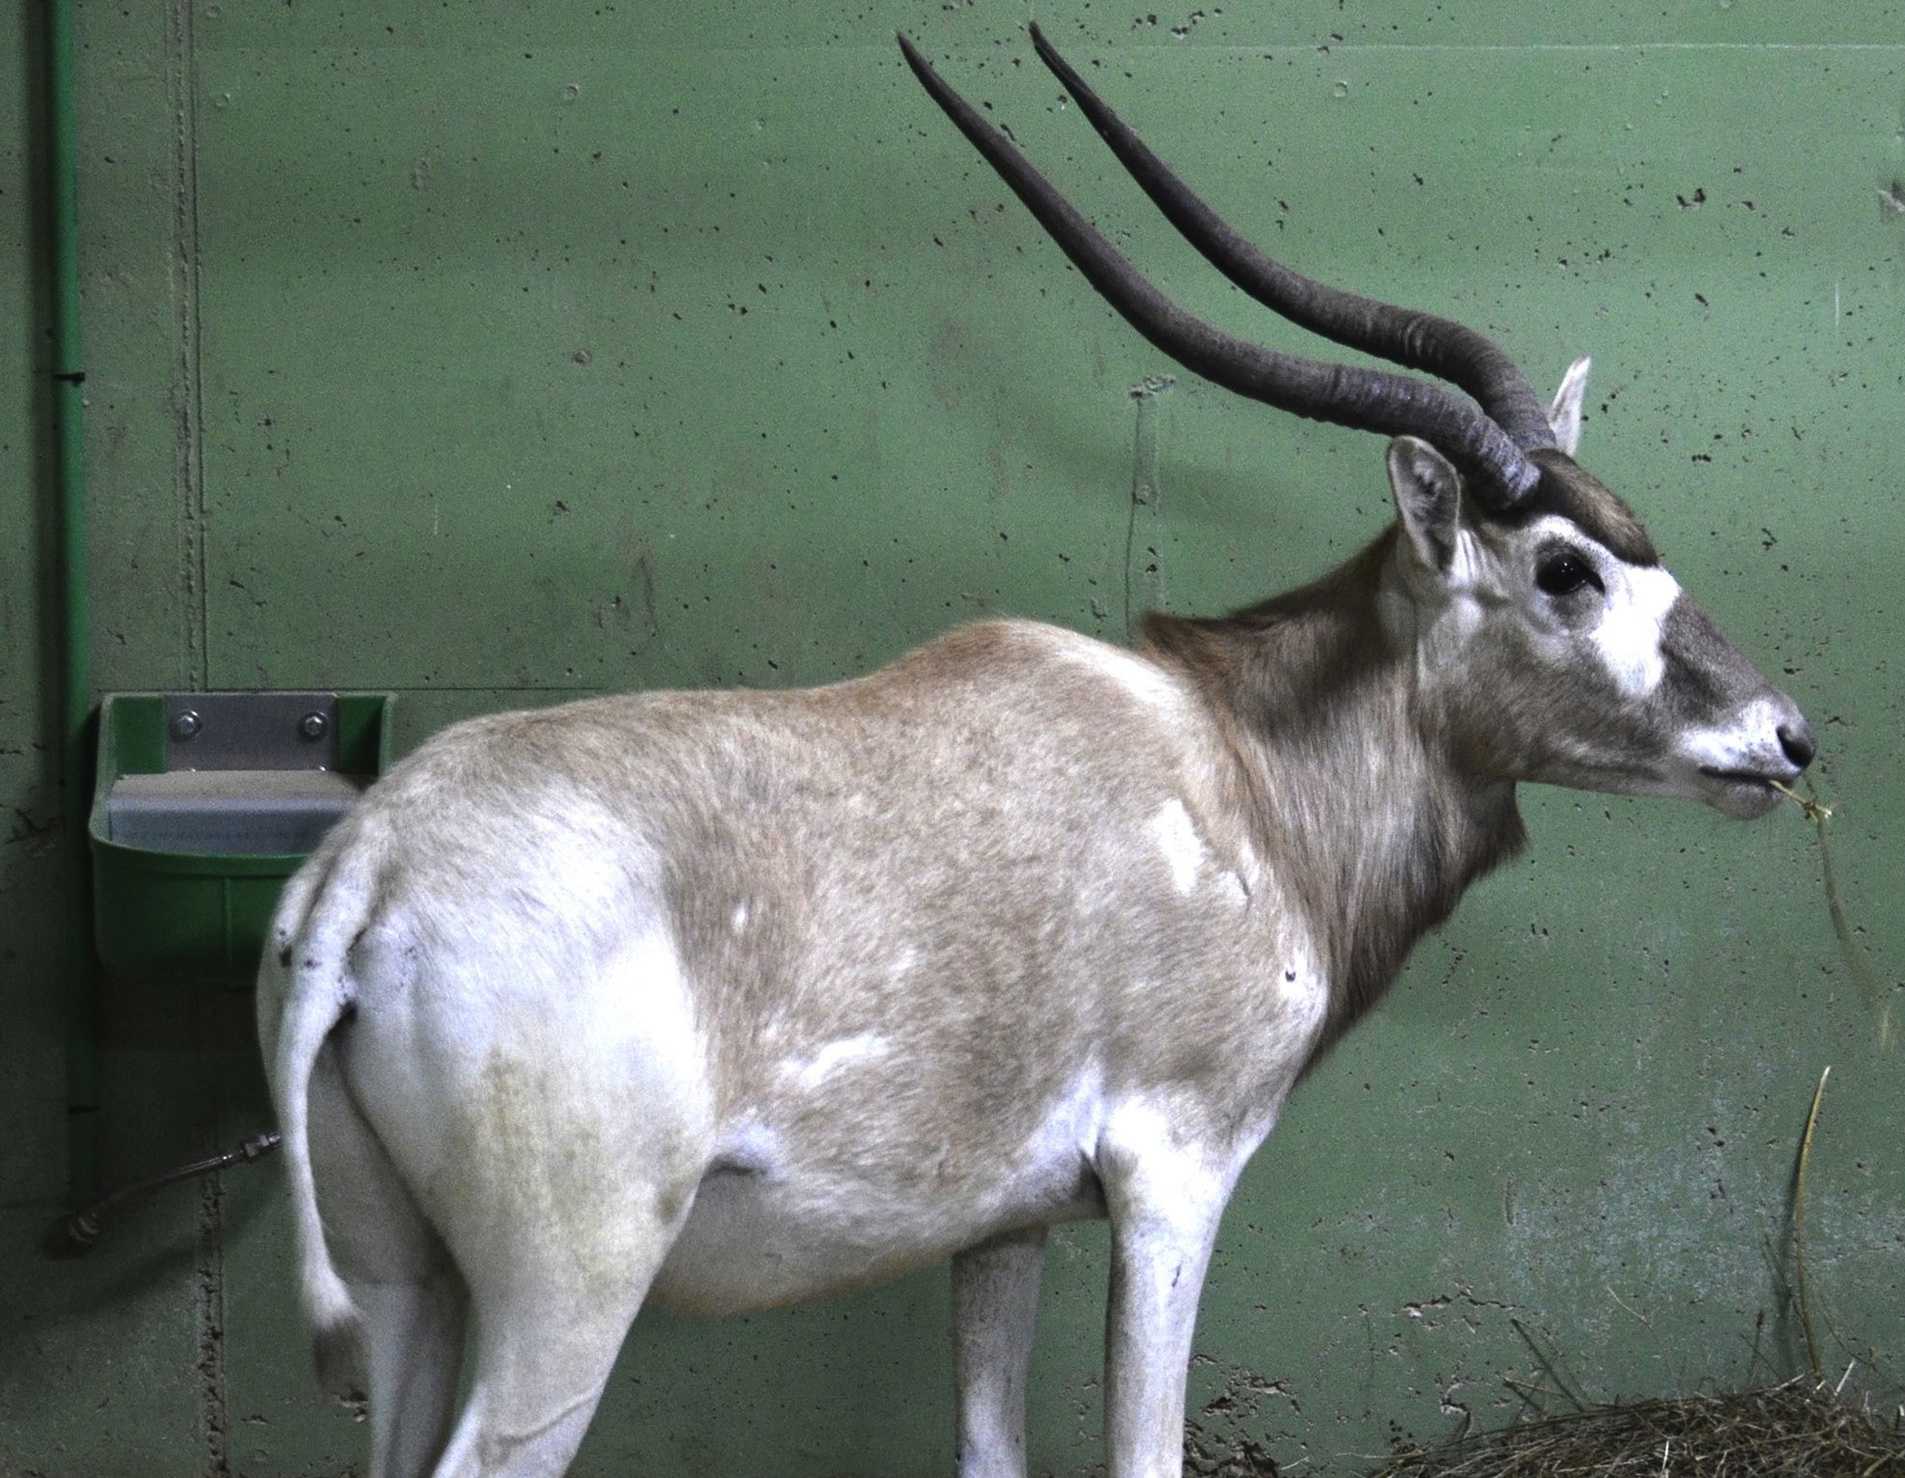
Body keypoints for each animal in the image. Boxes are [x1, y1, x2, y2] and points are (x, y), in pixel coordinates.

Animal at [258, 27, 1816, 1478]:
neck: (1237, 765)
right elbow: (1145, 1448)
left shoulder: (1004, 1227)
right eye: (1563, 568)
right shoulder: (1172, 1176)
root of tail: (371, 873)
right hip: (569, 1296)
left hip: (413, 1291)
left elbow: (989, 1448)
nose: (1785, 735)